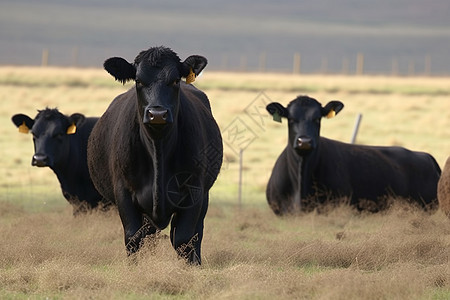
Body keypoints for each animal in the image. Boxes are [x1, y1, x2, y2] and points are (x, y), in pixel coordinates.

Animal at [87, 45, 222, 264]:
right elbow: (133, 237)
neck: (158, 149)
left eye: (175, 80)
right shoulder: (123, 191)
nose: (157, 114)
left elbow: (184, 237)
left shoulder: (195, 191)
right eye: (138, 80)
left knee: (195, 233)